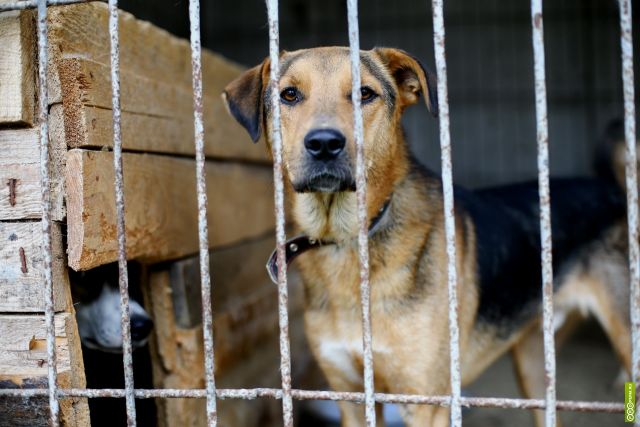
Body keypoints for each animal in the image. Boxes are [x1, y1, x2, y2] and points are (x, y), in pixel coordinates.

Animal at [222, 45, 632, 426]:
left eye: (365, 93)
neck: (348, 237)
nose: (324, 143)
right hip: (533, 361)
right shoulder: (350, 394)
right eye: (289, 94)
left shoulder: (424, 401)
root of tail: (615, 191)